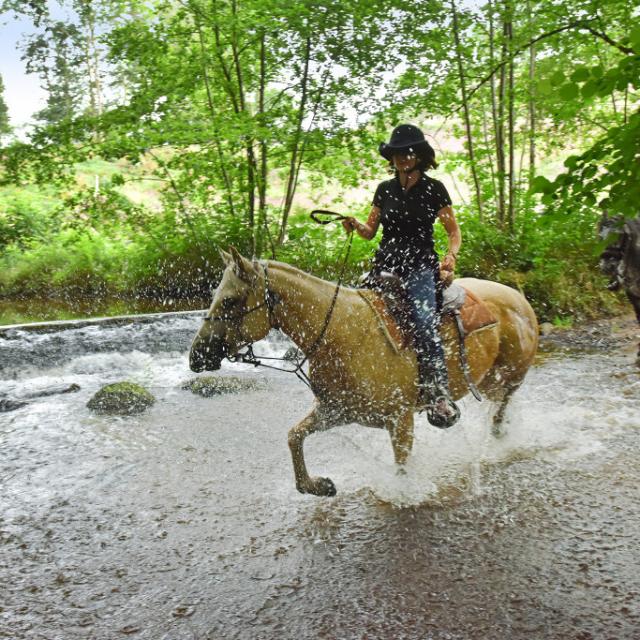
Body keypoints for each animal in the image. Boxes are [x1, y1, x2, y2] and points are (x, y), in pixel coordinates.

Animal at [190, 248, 540, 498]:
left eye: (230, 300)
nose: (196, 356)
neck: (341, 333)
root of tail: (519, 297)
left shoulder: (400, 420)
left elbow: (401, 468)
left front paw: (404, 495)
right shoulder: (338, 411)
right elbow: (294, 436)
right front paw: (318, 485)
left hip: (509, 376)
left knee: (502, 408)